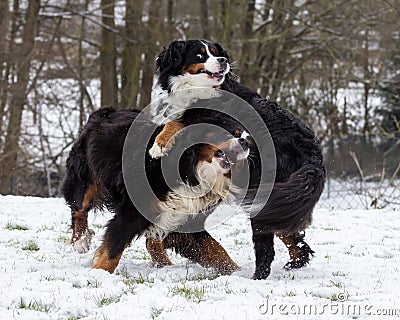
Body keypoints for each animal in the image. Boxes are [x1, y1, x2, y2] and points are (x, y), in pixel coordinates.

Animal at [60, 106, 250, 274]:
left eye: (246, 137)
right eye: (231, 132)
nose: (245, 142)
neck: (191, 169)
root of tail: (105, 111)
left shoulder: (187, 217)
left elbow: (217, 250)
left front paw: (239, 273)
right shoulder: (132, 212)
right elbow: (114, 247)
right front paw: (99, 272)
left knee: (152, 241)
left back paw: (164, 264)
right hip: (85, 178)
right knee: (79, 208)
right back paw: (81, 240)